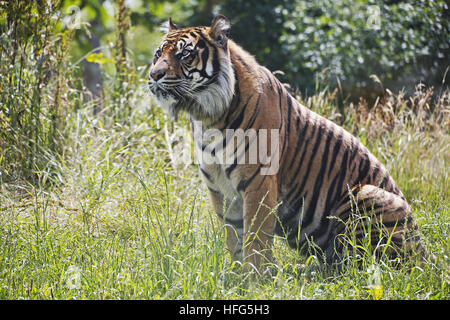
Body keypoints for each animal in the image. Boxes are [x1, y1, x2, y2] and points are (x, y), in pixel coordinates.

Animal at [148, 13, 428, 272]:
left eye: (185, 54)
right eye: (158, 53)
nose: (154, 74)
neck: (207, 117)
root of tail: (428, 257)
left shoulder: (258, 182)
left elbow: (256, 238)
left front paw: (255, 279)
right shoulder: (219, 188)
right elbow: (234, 238)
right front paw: (238, 277)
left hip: (367, 194)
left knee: (365, 264)